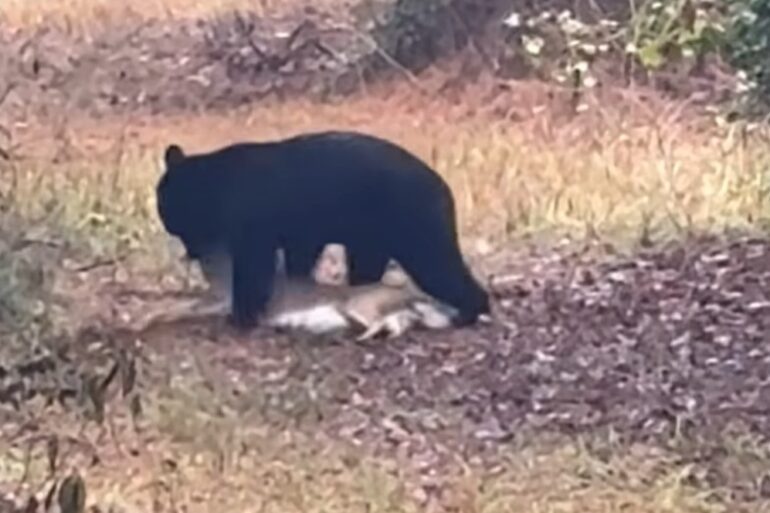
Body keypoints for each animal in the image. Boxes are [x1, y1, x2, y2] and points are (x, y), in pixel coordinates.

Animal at [155, 130, 489, 330]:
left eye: (169, 209)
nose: (190, 252)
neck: (218, 184)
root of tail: (445, 189)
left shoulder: (254, 228)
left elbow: (254, 268)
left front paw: (242, 316)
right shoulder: (300, 235)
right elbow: (298, 259)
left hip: (415, 227)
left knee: (440, 267)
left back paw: (469, 312)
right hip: (372, 236)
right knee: (369, 266)